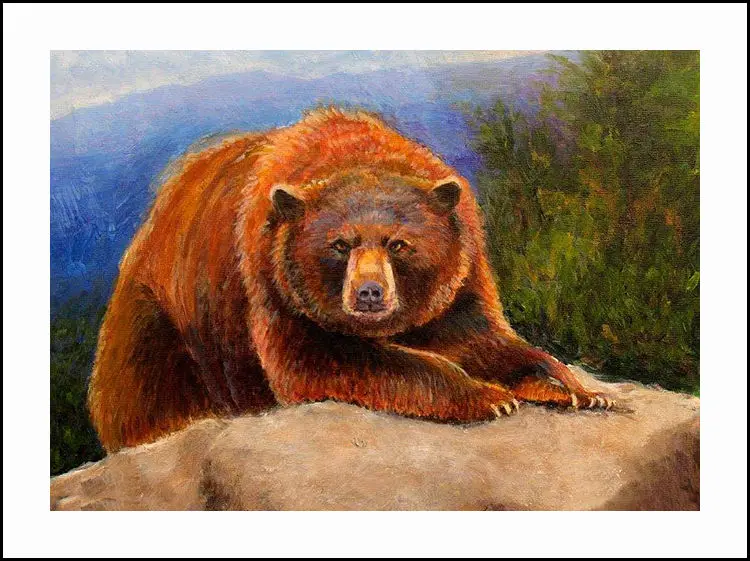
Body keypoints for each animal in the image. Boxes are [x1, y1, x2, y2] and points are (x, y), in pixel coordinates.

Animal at [88, 108, 613, 452]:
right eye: (340, 245)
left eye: (398, 244)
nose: (369, 292)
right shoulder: (271, 281)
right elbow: (320, 358)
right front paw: (488, 397)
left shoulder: (458, 276)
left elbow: (478, 335)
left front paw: (578, 389)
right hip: (166, 325)